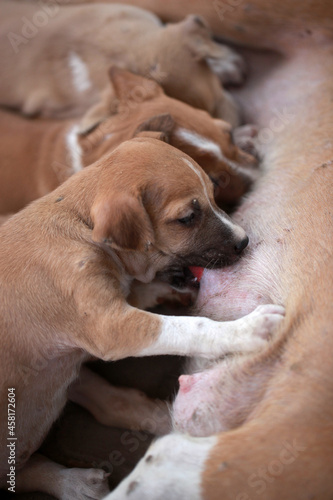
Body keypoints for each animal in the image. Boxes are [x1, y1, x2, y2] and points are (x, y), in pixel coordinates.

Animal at [0, 138, 282, 500]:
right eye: (187, 217)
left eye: (213, 192)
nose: (244, 241)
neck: (79, 225)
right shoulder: (110, 326)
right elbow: (191, 327)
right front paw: (249, 328)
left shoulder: (118, 302)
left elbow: (142, 291)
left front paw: (175, 286)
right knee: (20, 471)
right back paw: (72, 483)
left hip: (64, 373)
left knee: (104, 404)